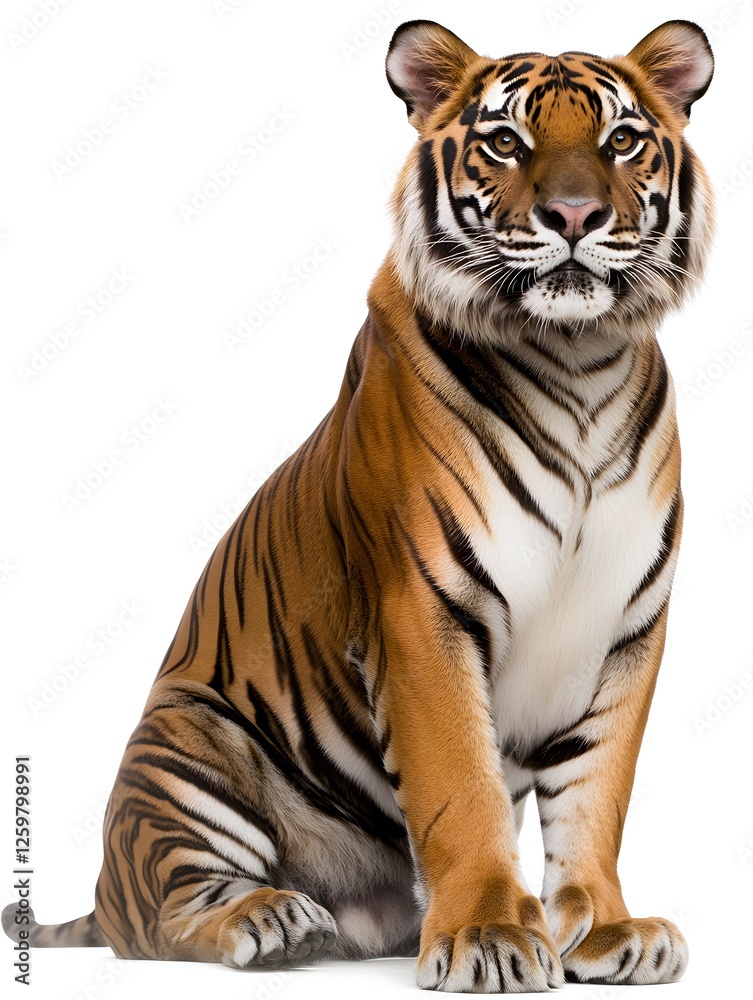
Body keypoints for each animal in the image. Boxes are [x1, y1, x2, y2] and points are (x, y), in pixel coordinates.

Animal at [3, 17, 713, 993]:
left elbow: (596, 793)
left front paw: (605, 930)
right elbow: (460, 785)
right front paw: (490, 934)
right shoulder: (423, 609)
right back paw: (272, 921)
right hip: (185, 743)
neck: (578, 360)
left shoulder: (628, 626)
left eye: (621, 141)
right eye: (505, 142)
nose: (573, 217)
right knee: (157, 917)